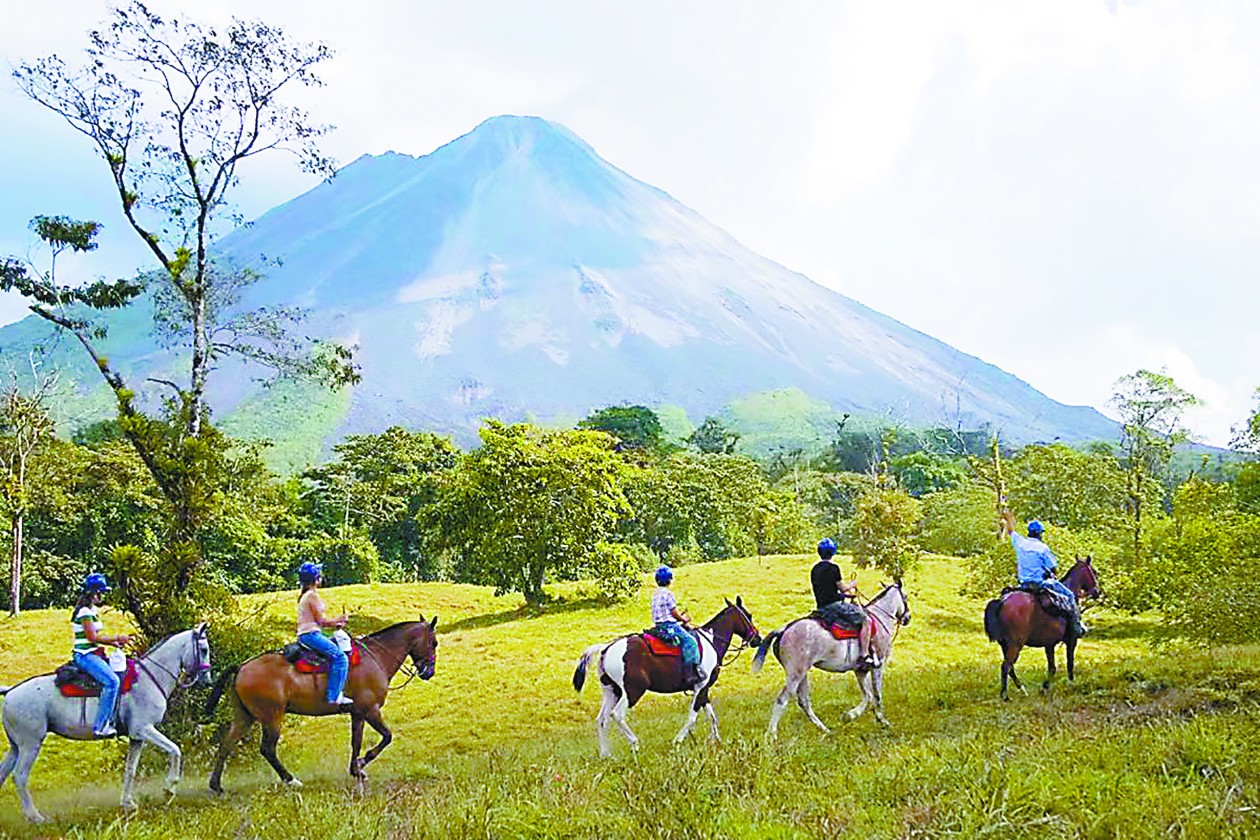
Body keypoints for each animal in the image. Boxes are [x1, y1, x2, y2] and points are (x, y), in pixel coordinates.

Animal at [0, 624, 211, 821]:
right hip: (30, 744)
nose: (208, 681)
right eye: (204, 649)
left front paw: (128, 804)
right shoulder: (144, 729)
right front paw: (169, 789)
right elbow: (175, 750)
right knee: (20, 776)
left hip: (16, 747)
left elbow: (130, 770)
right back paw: (35, 817)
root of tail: (10, 692)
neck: (150, 678)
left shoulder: (137, 737)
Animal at [206, 614, 438, 790]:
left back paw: (216, 785)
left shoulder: (358, 713)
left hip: (244, 716)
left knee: (227, 744)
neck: (377, 656)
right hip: (272, 717)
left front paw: (356, 770)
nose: (429, 672)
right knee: (267, 749)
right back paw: (290, 779)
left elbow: (356, 741)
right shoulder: (370, 710)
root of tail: (242, 667)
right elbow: (387, 737)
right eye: (434, 643)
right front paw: (363, 762)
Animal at [572, 596, 756, 760]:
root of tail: (606, 648)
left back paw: (606, 754)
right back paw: (634, 743)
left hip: (612, 691)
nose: (758, 639)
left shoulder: (703, 689)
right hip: (632, 692)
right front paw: (678, 741)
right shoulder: (701, 686)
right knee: (616, 714)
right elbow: (693, 717)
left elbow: (711, 715)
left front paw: (716, 740)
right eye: (749, 615)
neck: (711, 641)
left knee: (602, 719)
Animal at [750, 584, 912, 735]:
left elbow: (868, 695)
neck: (880, 618)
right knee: (782, 700)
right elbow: (877, 695)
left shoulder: (860, 670)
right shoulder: (878, 666)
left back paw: (825, 730)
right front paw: (882, 721)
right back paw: (771, 735)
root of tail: (784, 630)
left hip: (801, 674)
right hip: (795, 675)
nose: (907, 618)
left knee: (804, 702)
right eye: (905, 596)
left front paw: (849, 715)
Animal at [987, 559, 1098, 705]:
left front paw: (1045, 688)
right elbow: (1070, 662)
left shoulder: (1049, 644)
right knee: (1006, 666)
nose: (1097, 592)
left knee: (1010, 668)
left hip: (1004, 645)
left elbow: (1052, 667)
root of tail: (1002, 601)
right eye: (1094, 572)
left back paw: (1022, 689)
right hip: (1015, 645)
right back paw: (1005, 695)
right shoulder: (1072, 640)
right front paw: (1070, 684)